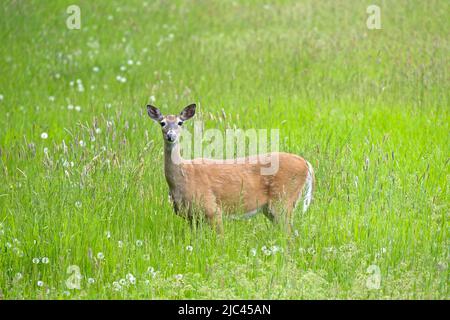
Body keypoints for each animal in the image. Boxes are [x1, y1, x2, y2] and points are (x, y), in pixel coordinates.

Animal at [146, 104, 314, 234]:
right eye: (162, 123)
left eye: (180, 122)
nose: (170, 135)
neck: (184, 177)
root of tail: (305, 163)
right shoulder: (191, 217)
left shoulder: (213, 209)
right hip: (272, 208)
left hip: (283, 200)